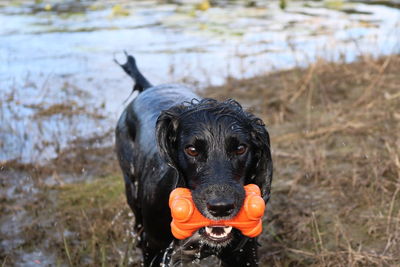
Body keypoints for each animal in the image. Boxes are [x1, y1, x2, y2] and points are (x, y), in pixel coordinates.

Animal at [114, 54, 274, 267]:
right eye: (192, 150)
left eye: (241, 148)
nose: (221, 207)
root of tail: (149, 87)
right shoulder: (154, 247)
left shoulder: (243, 252)